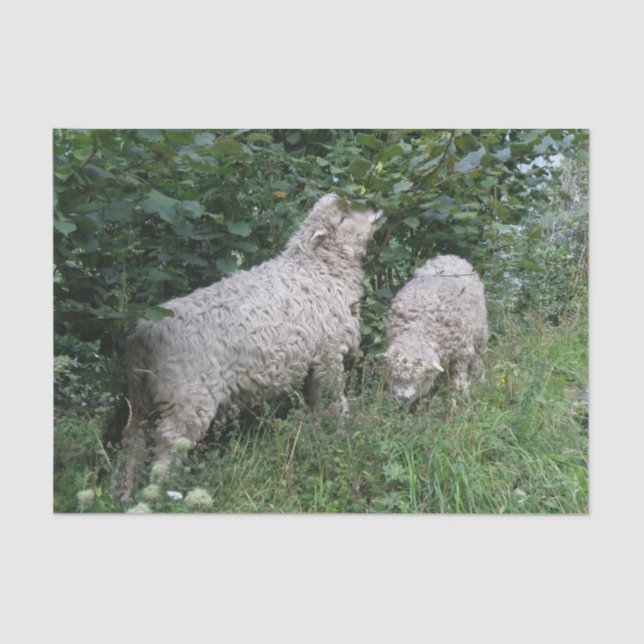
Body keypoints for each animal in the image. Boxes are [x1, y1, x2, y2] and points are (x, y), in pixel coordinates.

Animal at [110, 193, 382, 500]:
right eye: (342, 218)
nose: (374, 207)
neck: (317, 268)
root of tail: (142, 334)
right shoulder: (329, 352)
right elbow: (334, 398)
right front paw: (342, 429)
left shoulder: (314, 358)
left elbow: (315, 400)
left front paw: (317, 431)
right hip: (187, 398)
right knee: (169, 442)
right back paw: (163, 491)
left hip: (142, 397)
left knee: (132, 439)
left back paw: (121, 491)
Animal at [382, 255, 488, 401]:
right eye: (395, 375)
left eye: (418, 378)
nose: (403, 398)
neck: (418, 329)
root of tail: (449, 256)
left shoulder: (463, 351)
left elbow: (459, 375)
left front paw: (461, 393)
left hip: (481, 332)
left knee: (478, 355)